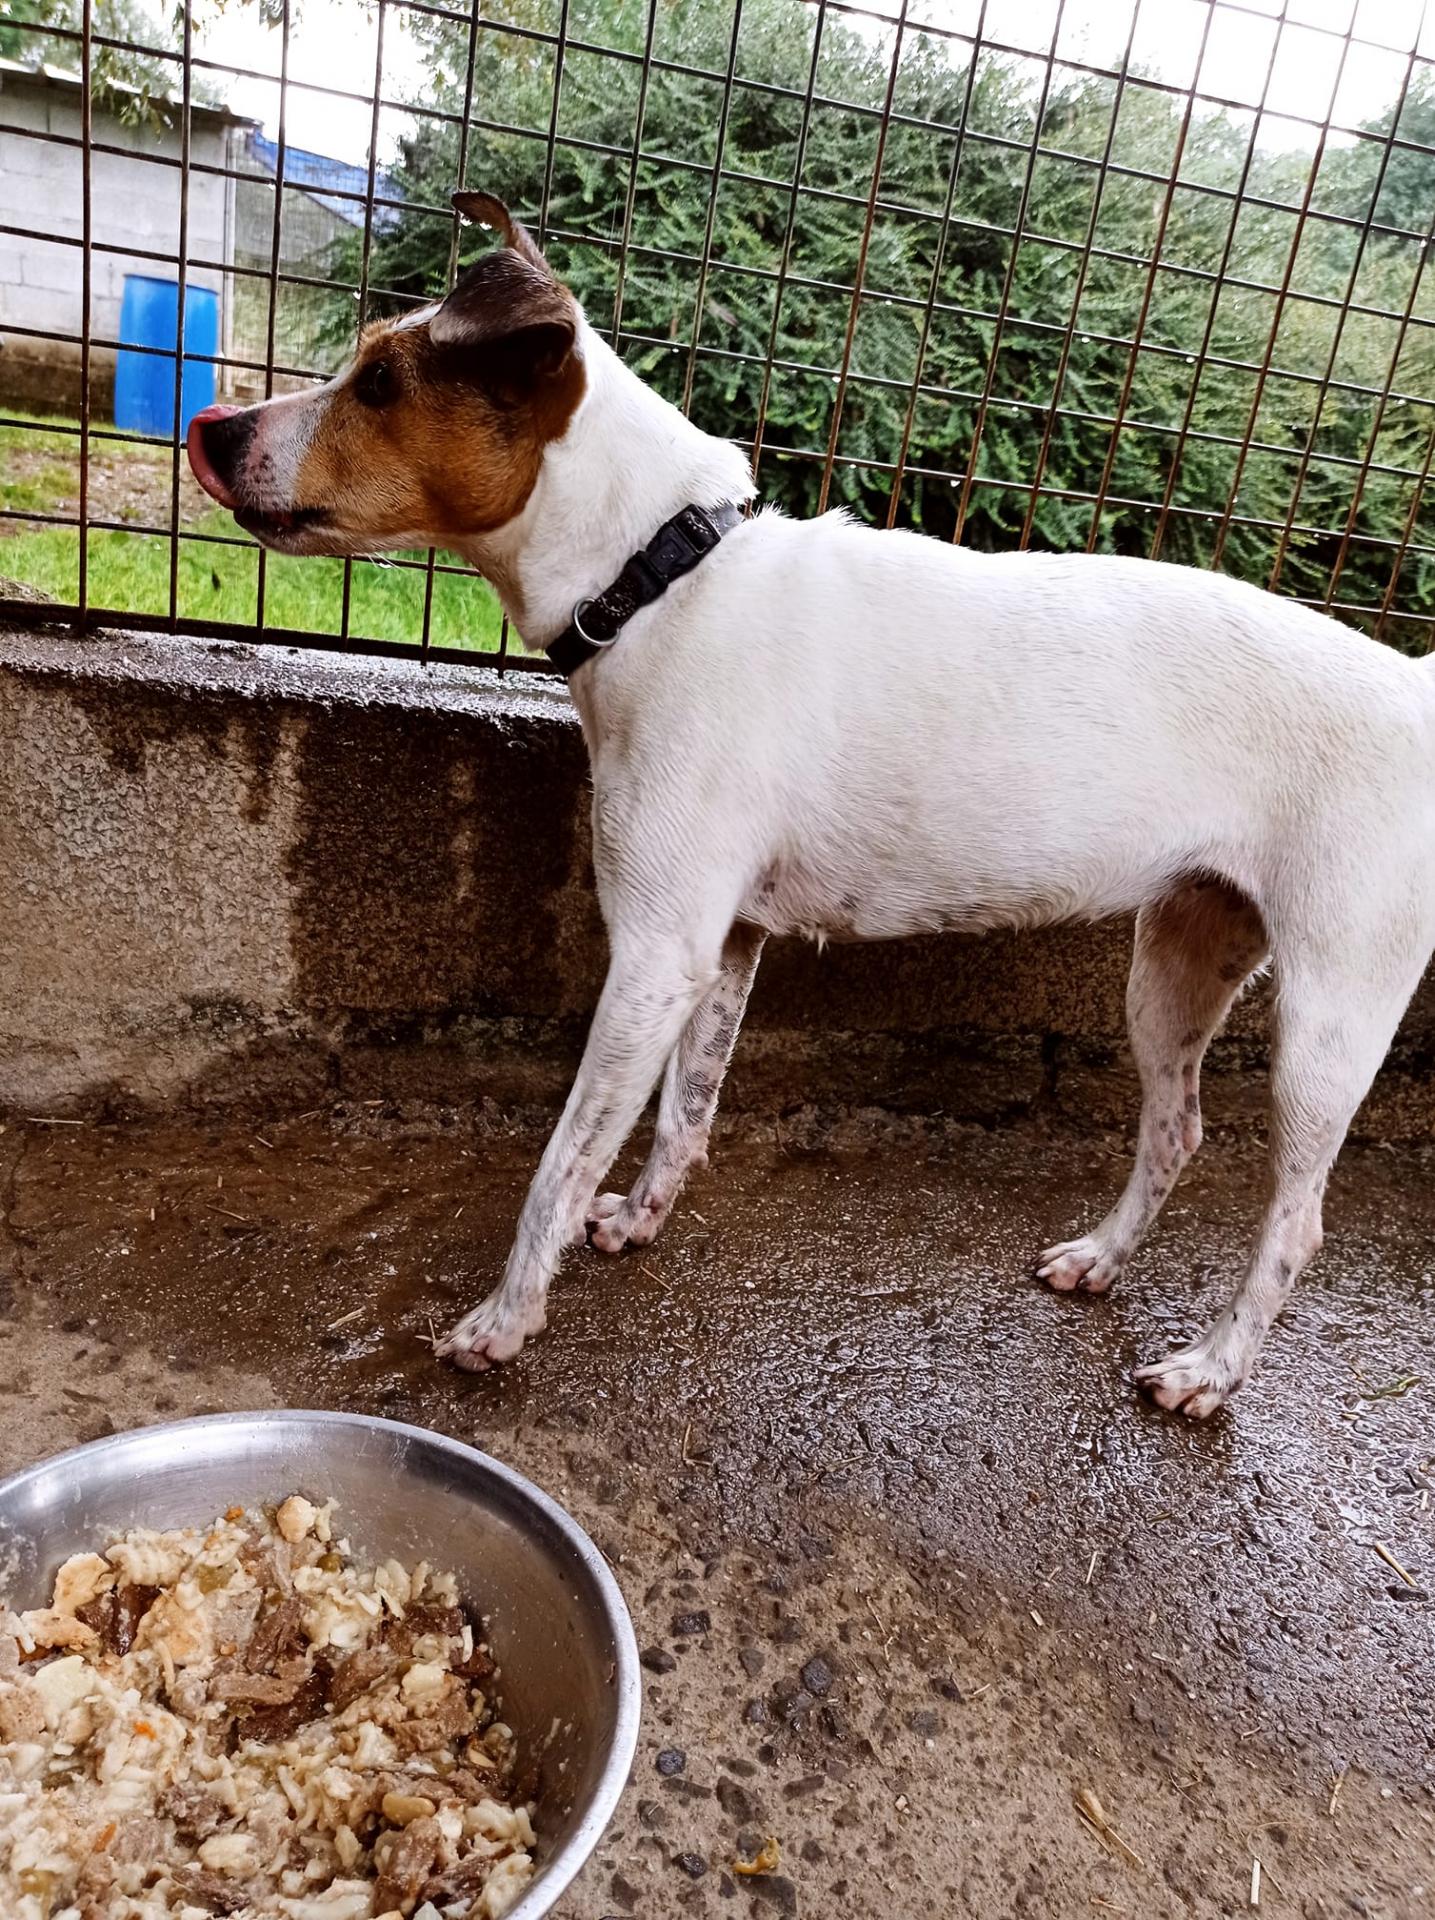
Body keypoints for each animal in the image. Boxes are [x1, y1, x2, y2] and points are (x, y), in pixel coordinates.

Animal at [188, 198, 1435, 1428]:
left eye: (379, 384)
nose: (209, 428)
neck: (661, 576)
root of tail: (1413, 689)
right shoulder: (725, 945)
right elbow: (687, 1110)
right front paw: (638, 1218)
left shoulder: (655, 956)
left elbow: (559, 1162)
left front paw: (504, 1319)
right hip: (1175, 962)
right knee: (1175, 1129)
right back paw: (1100, 1259)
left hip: (1327, 1027)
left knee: (1296, 1222)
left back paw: (1210, 1371)